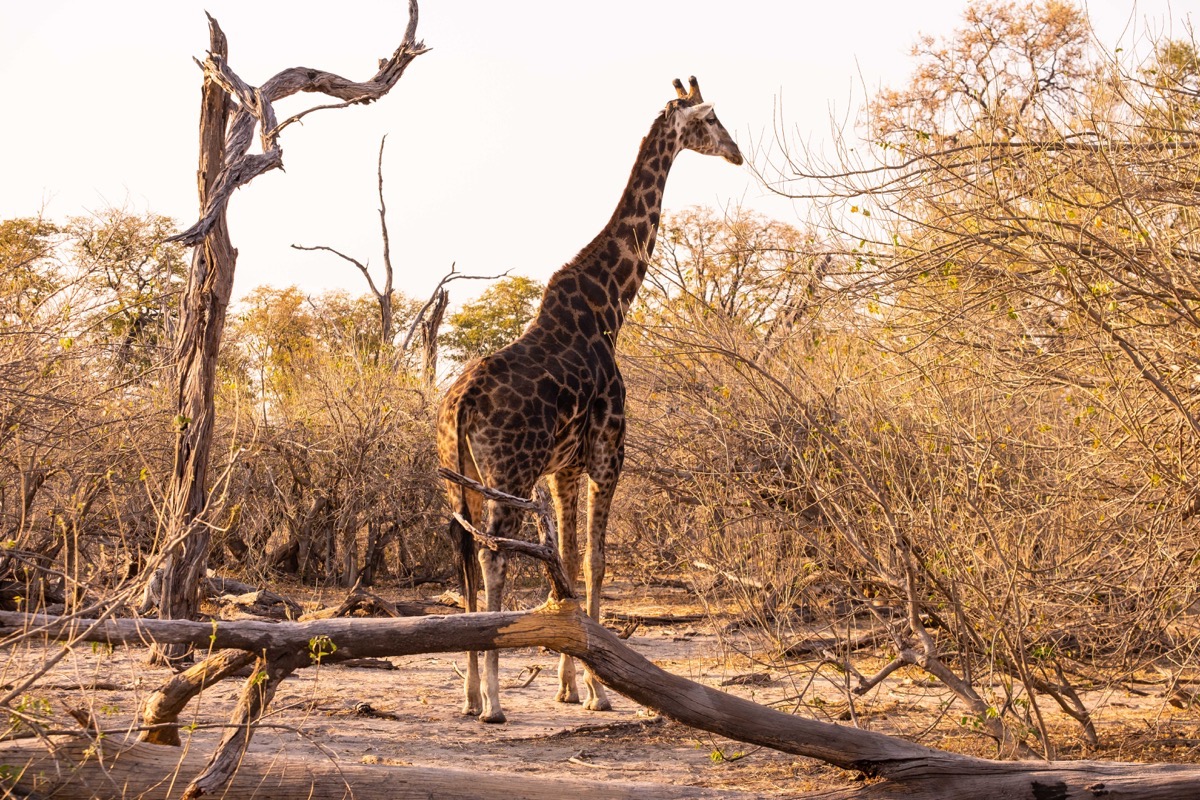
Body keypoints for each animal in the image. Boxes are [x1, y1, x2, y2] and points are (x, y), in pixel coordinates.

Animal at [439, 77, 739, 724]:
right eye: (712, 120)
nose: (737, 153)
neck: (610, 310)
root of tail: (463, 400)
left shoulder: (562, 469)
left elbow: (568, 559)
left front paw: (570, 684)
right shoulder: (606, 457)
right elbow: (596, 561)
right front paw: (600, 690)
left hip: (461, 477)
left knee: (464, 553)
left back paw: (472, 692)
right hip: (507, 472)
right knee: (492, 555)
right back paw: (494, 700)